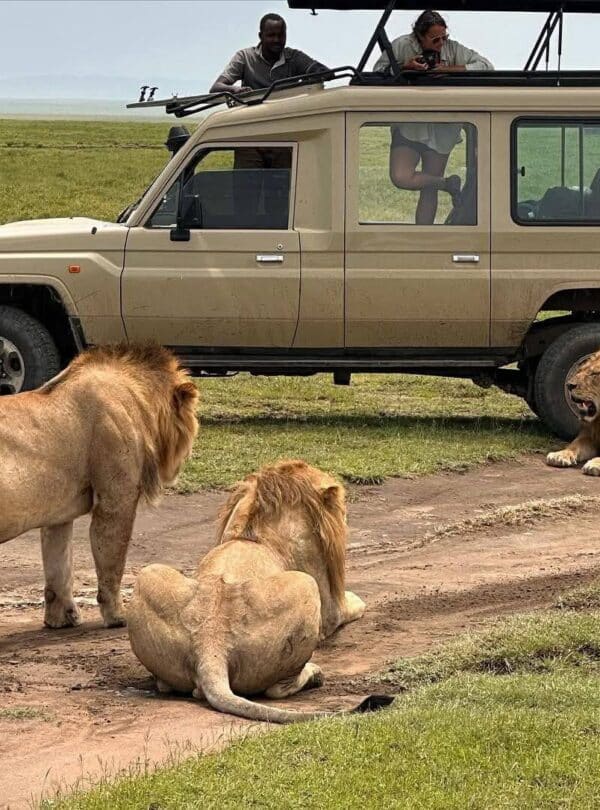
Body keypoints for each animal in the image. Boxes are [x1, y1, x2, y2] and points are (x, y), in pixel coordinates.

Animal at [0, 343, 198, 629]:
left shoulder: (58, 515)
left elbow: (59, 563)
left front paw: (61, 620)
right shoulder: (117, 498)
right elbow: (112, 559)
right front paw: (118, 616)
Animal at [126, 459, 370, 724]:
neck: (255, 532)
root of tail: (211, 642)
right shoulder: (329, 609)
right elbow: (351, 606)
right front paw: (357, 599)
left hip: (147, 574)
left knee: (167, 685)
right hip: (307, 585)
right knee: (276, 690)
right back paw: (315, 674)